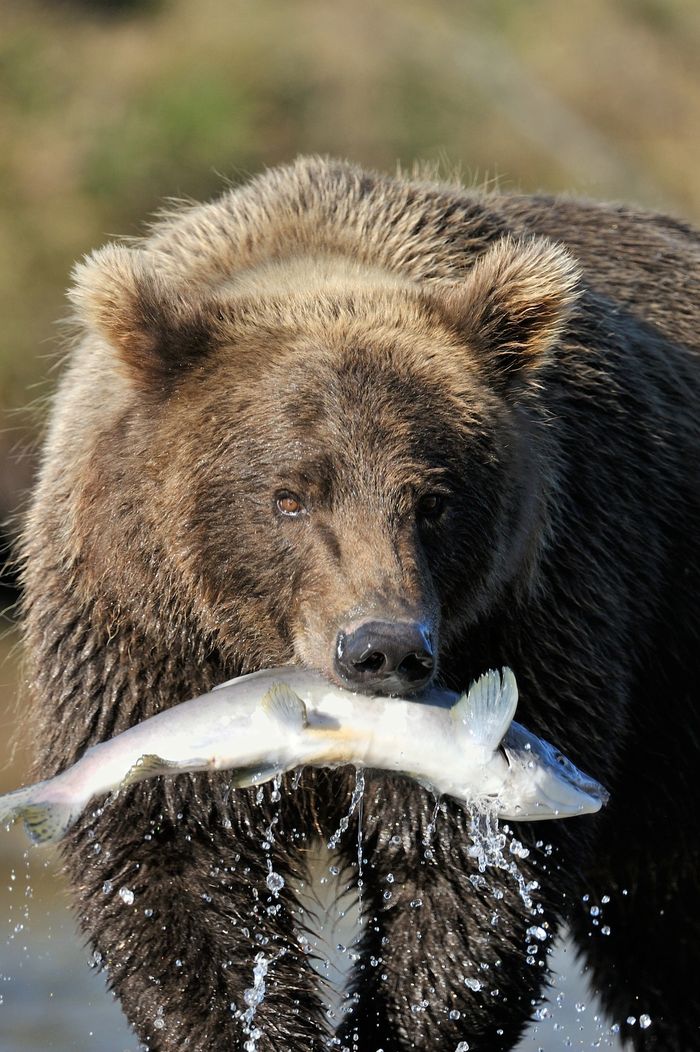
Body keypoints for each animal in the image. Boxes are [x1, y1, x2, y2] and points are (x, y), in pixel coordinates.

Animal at [20, 157, 698, 1052]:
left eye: (434, 501)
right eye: (288, 497)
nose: (384, 648)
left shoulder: (542, 610)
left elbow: (462, 892)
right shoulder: (140, 640)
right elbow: (176, 868)